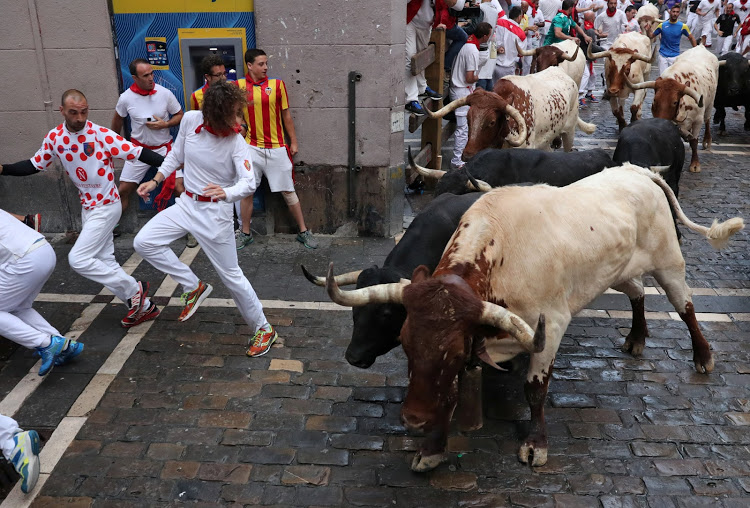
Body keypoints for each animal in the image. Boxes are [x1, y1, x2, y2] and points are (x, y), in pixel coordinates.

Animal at [326, 165, 744, 474]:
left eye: (452, 352)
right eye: (407, 344)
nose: (412, 420)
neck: (498, 257)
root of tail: (637, 170)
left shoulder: (550, 328)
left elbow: (535, 390)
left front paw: (534, 444)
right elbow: (451, 391)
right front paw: (432, 447)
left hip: (670, 263)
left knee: (685, 307)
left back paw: (703, 356)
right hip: (617, 270)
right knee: (637, 291)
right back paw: (637, 338)